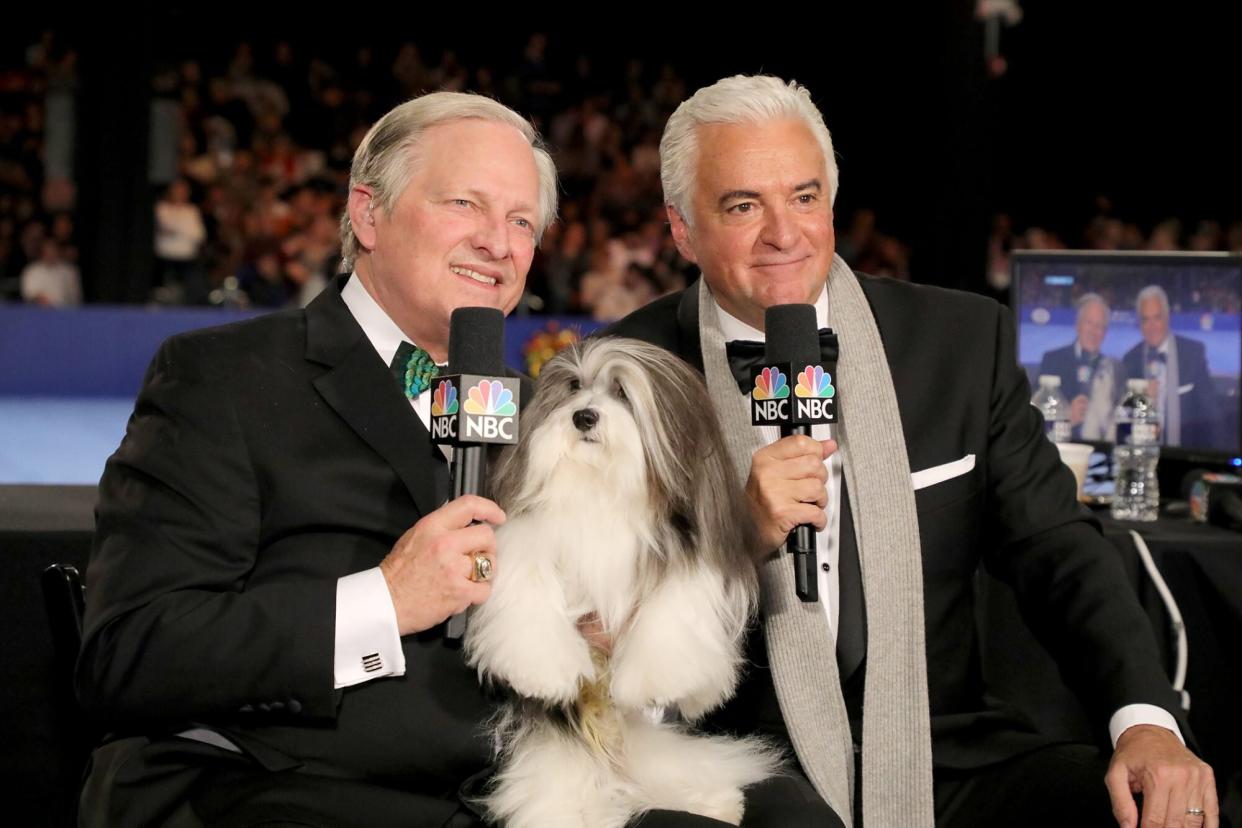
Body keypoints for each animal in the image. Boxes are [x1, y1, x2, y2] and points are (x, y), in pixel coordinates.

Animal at [466, 337, 775, 828]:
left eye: (623, 394)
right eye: (574, 388)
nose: (584, 417)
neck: (600, 487)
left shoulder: (694, 547)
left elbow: (676, 606)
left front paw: (657, 678)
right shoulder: (525, 535)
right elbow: (528, 591)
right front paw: (544, 669)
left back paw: (713, 801)